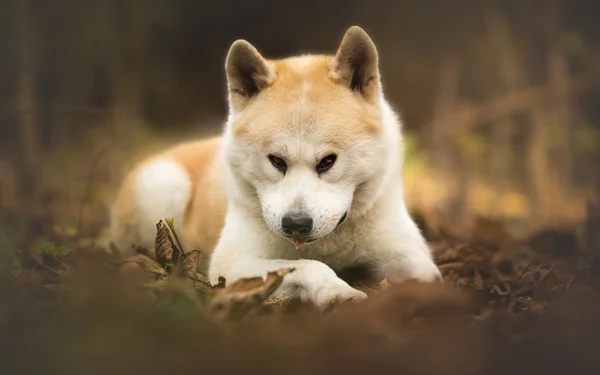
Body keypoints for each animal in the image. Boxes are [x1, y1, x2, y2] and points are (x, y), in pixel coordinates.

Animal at [110, 25, 442, 308]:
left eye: (328, 161)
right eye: (276, 161)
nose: (296, 224)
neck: (327, 243)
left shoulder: (407, 254)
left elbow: (428, 276)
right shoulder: (232, 262)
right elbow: (309, 266)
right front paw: (336, 292)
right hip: (164, 183)